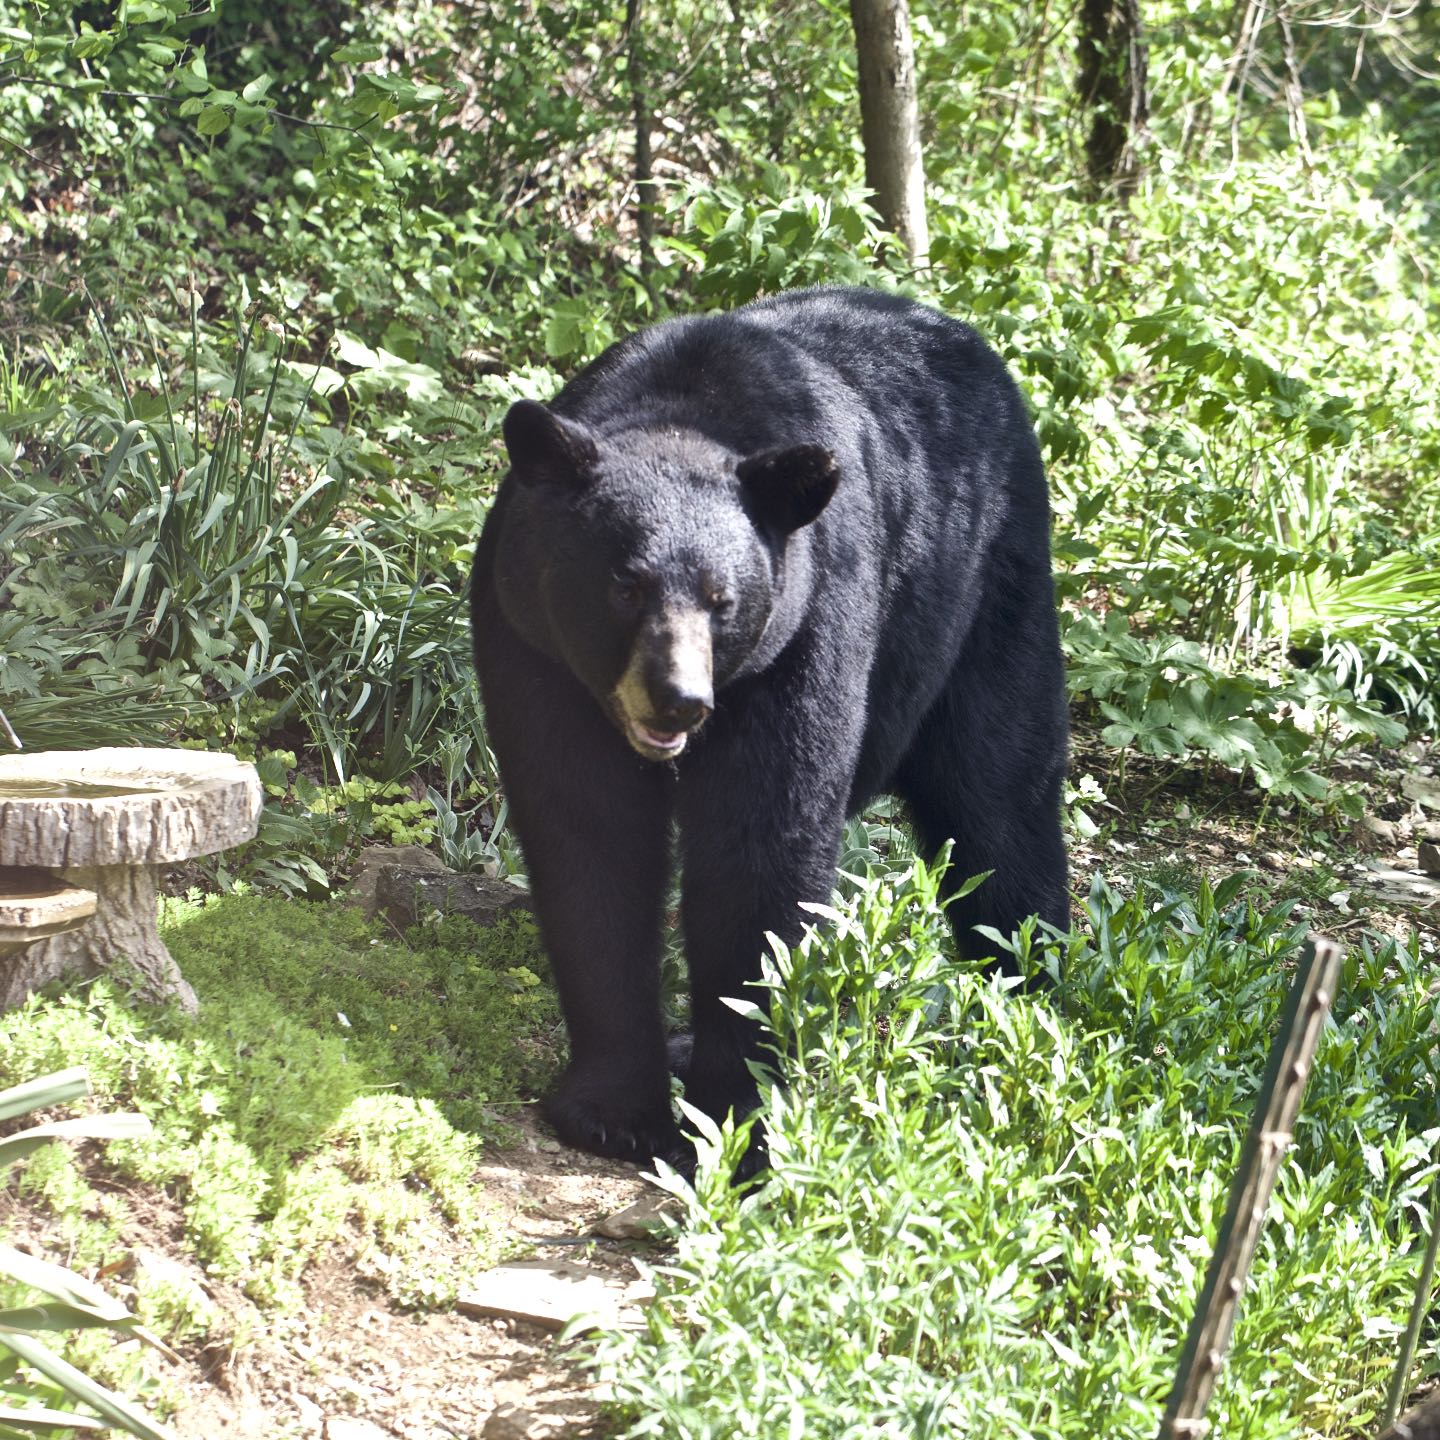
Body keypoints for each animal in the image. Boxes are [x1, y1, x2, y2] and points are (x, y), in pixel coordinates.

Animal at [470, 285, 1068, 1165]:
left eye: (722, 601)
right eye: (624, 586)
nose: (679, 700)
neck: (683, 412)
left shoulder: (803, 629)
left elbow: (762, 843)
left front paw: (739, 1117)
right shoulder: (535, 649)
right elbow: (590, 835)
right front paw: (611, 1107)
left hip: (988, 584)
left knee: (1000, 795)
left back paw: (1028, 1001)